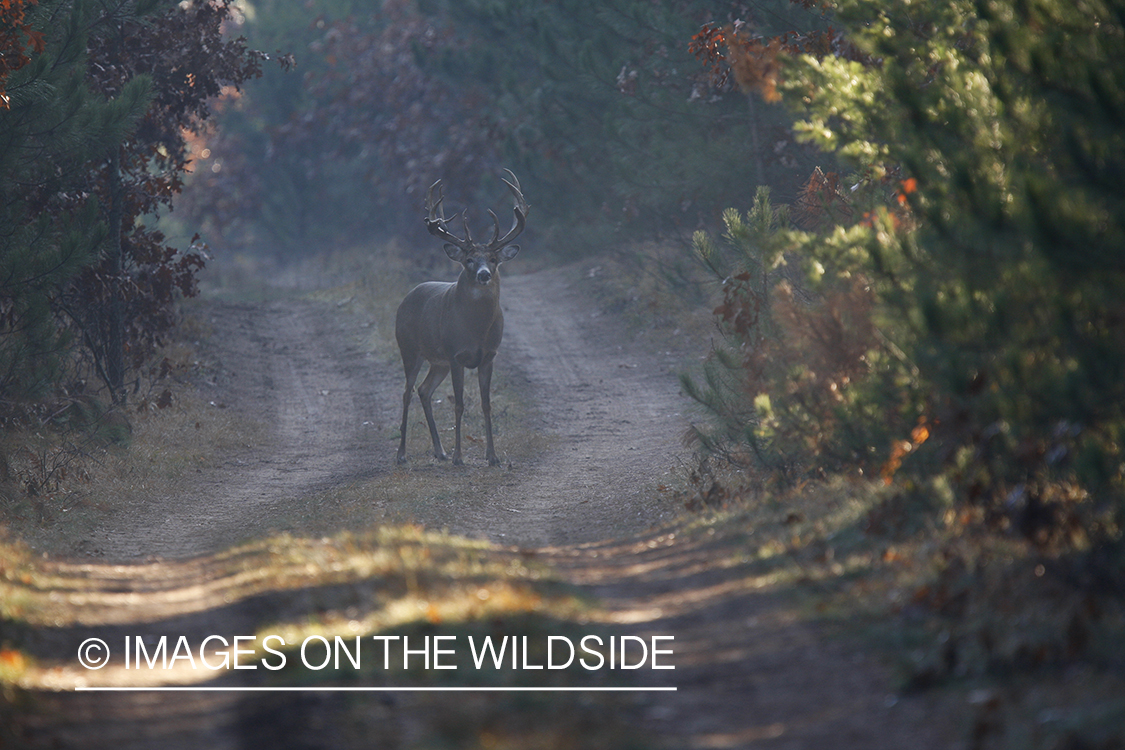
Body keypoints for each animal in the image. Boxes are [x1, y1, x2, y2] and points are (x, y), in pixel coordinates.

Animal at [393, 168, 528, 470]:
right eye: (468, 259)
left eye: (493, 259)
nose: (484, 274)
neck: (476, 329)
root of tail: (408, 295)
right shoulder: (456, 354)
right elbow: (458, 404)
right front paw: (459, 457)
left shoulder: (489, 355)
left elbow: (486, 403)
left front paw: (492, 456)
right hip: (409, 349)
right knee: (407, 392)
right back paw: (402, 454)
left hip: (437, 361)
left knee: (424, 390)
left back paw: (439, 451)